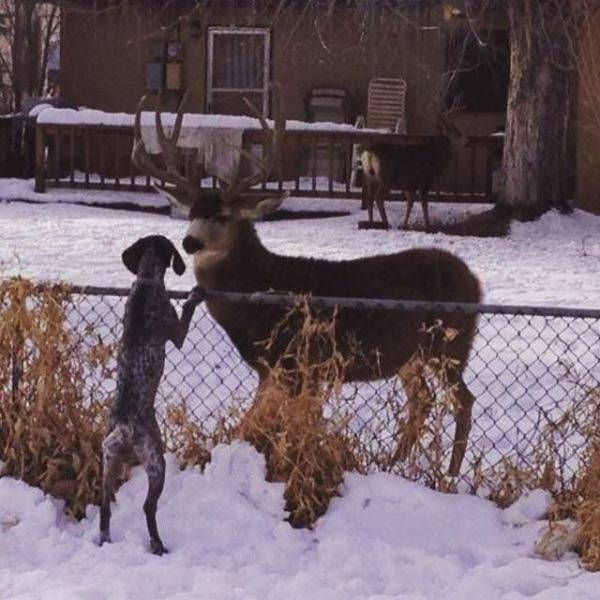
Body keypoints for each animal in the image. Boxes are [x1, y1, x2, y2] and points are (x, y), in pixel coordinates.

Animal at [99, 237, 205, 556]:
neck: (146, 278)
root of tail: (124, 429)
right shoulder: (177, 331)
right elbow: (187, 310)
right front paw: (195, 295)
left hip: (108, 463)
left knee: (105, 504)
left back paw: (105, 538)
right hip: (157, 464)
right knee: (148, 507)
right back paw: (158, 545)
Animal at [132, 85, 482, 478]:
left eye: (223, 216)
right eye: (191, 212)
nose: (191, 241)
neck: (261, 291)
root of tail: (475, 283)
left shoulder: (305, 364)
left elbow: (296, 427)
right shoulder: (272, 372)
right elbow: (252, 425)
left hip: (450, 344)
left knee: (463, 401)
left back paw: (449, 476)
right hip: (412, 355)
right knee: (422, 401)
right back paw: (391, 465)